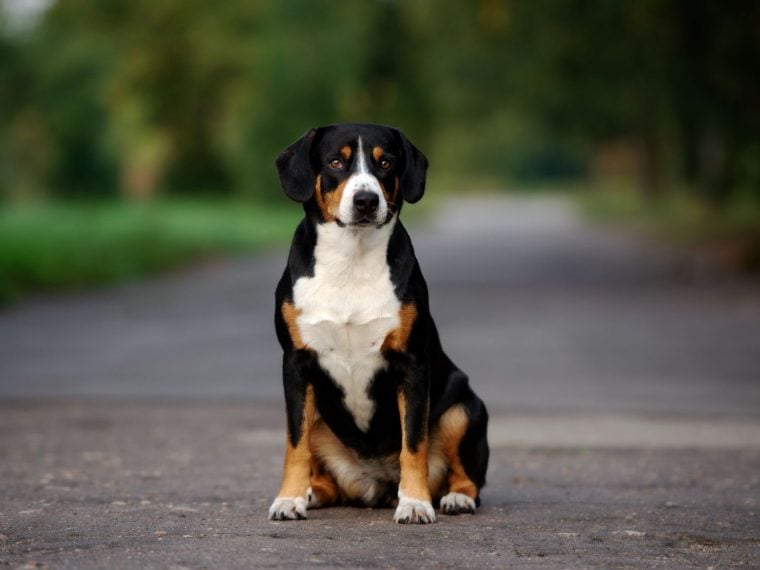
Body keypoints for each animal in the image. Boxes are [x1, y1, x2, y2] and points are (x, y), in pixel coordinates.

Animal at [270, 122, 490, 520]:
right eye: (336, 161)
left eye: (385, 162)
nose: (366, 200)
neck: (351, 261)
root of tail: (374, 483)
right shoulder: (296, 363)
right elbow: (296, 444)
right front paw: (289, 499)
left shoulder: (412, 364)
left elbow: (414, 444)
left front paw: (415, 503)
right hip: (321, 418)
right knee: (323, 471)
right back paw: (313, 493)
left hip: (464, 409)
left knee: (469, 477)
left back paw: (455, 498)